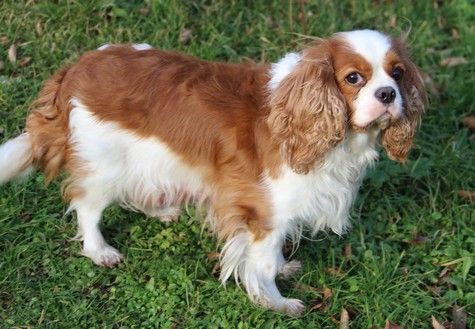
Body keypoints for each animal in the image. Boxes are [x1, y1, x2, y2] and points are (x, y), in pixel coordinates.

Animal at [0, 30, 424, 312]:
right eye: (353, 78)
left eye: (397, 73)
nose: (388, 94)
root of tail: (76, 67)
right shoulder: (264, 212)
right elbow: (262, 263)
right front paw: (278, 303)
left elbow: (271, 256)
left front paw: (283, 270)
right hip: (106, 164)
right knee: (88, 207)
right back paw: (99, 250)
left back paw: (161, 210)